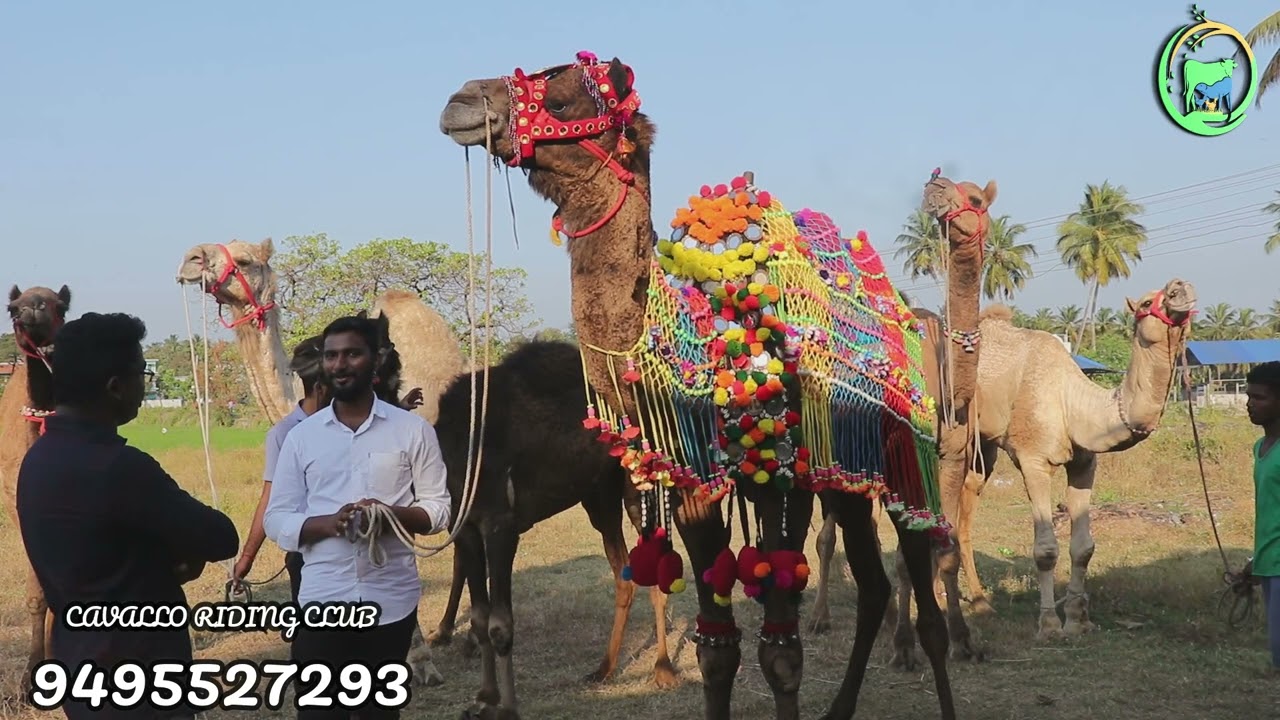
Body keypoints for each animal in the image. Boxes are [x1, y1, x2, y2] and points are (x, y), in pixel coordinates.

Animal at [440, 51, 958, 720]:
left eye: (563, 97)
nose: (460, 101)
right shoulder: (695, 484)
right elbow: (719, 648)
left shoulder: (781, 477)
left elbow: (781, 652)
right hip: (845, 474)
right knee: (872, 585)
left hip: (902, 453)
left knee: (923, 593)